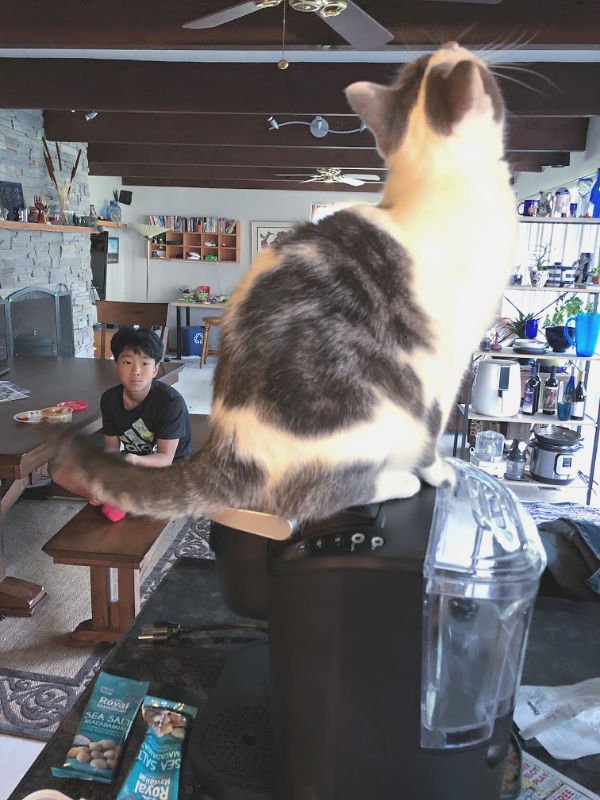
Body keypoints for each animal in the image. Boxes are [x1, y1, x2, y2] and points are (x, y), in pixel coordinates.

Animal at [55, 43, 516, 532]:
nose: (453, 46)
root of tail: (228, 453)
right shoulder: (444, 369)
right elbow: (431, 439)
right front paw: (440, 473)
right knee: (316, 495)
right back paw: (396, 483)